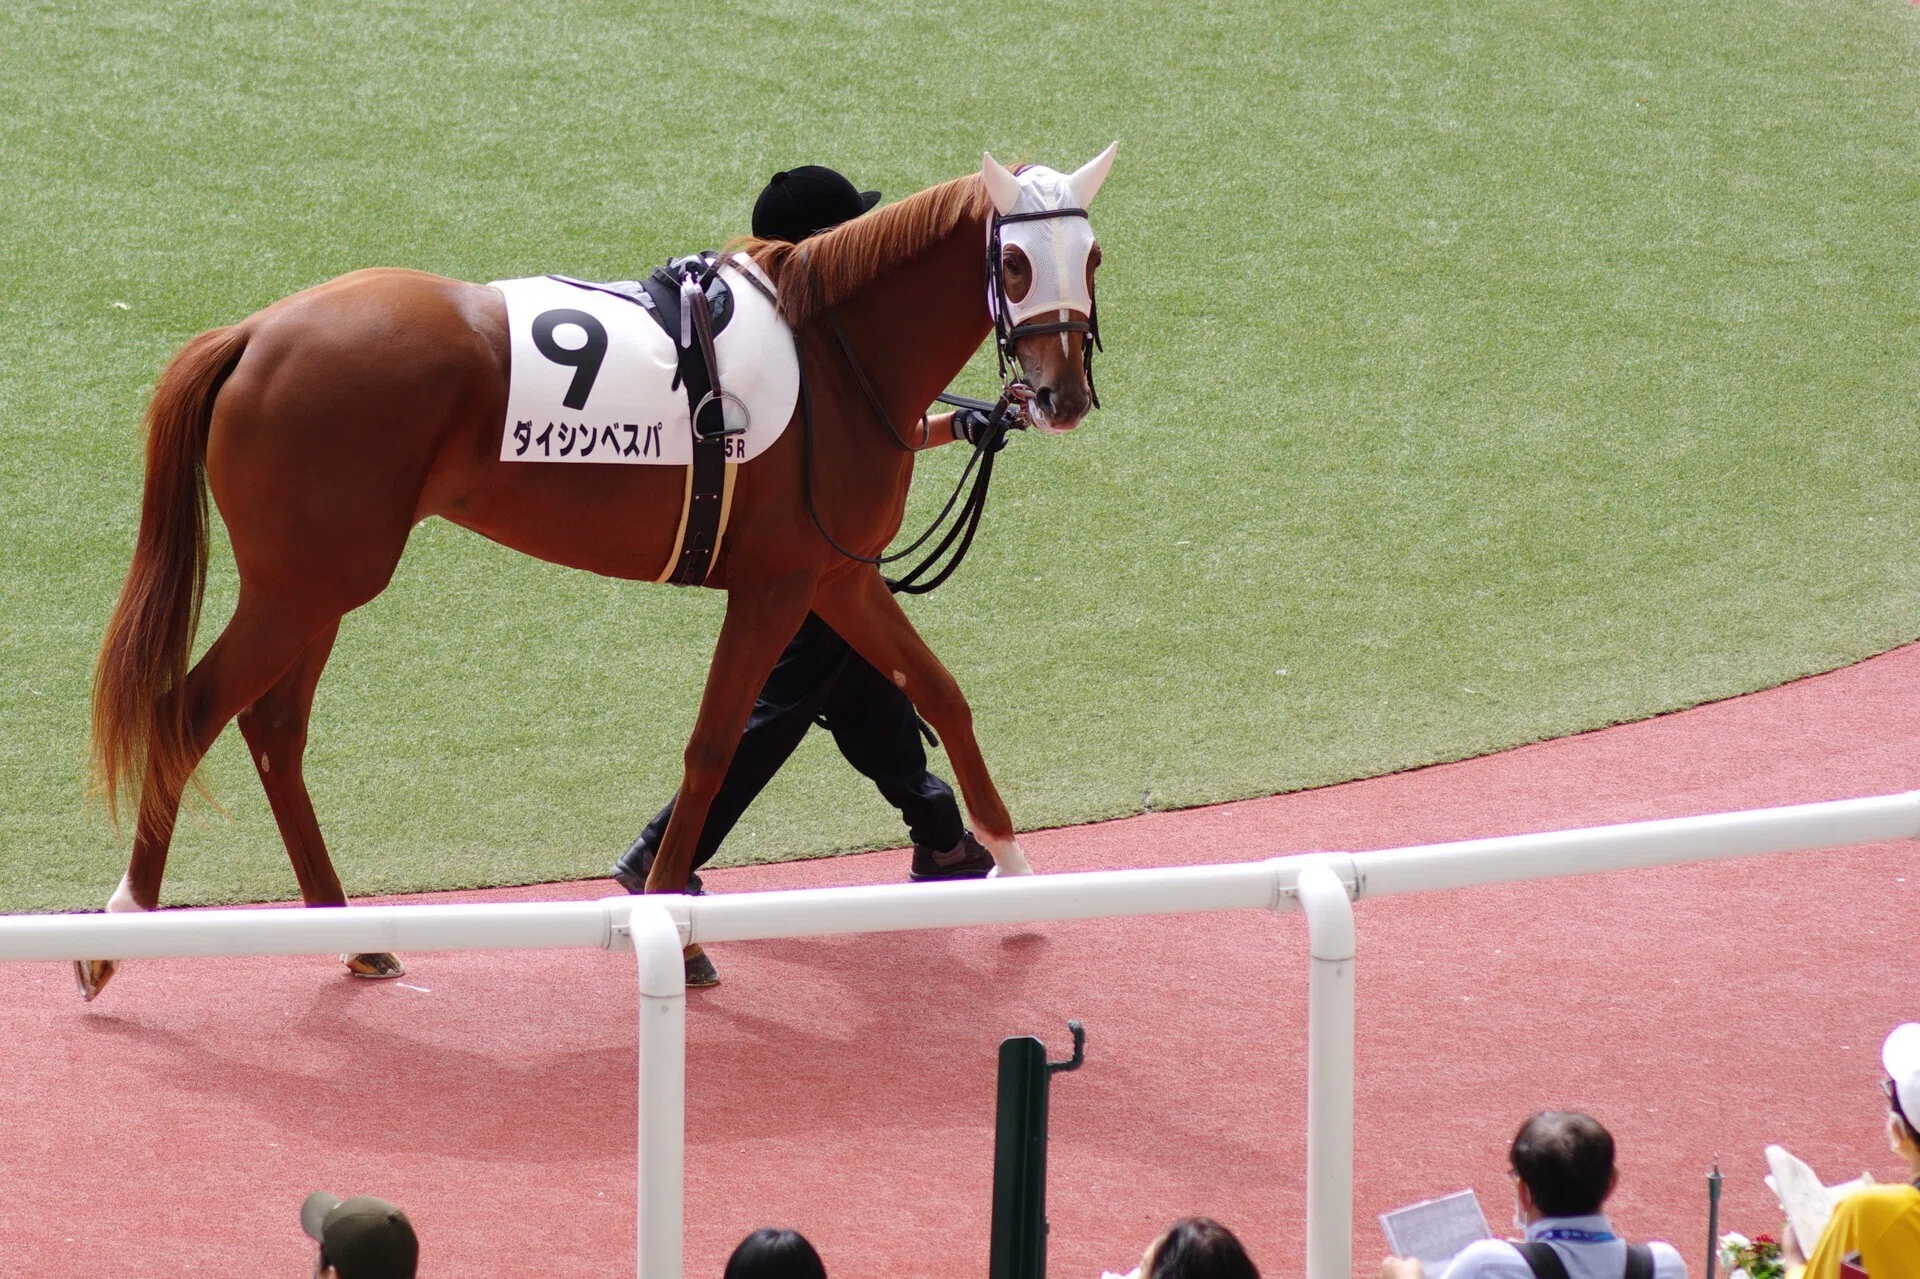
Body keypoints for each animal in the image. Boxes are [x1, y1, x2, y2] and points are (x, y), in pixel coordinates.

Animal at [80, 145, 1117, 999]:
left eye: (1095, 257)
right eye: (1017, 264)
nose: (1060, 397)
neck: (833, 356)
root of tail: (253, 332)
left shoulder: (838, 576)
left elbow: (939, 694)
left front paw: (1012, 867)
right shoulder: (779, 585)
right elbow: (714, 746)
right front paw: (680, 934)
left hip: (319, 585)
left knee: (273, 729)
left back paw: (358, 937)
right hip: (303, 586)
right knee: (188, 712)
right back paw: (115, 934)